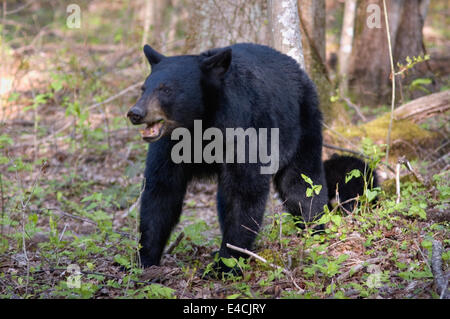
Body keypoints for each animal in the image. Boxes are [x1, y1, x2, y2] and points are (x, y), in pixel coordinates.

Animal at [126, 42, 356, 276]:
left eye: (166, 89)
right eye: (144, 88)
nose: (135, 113)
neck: (199, 127)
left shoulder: (243, 128)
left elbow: (244, 192)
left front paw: (226, 263)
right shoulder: (169, 145)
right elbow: (161, 191)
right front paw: (145, 260)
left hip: (302, 124)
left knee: (301, 184)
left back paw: (314, 230)